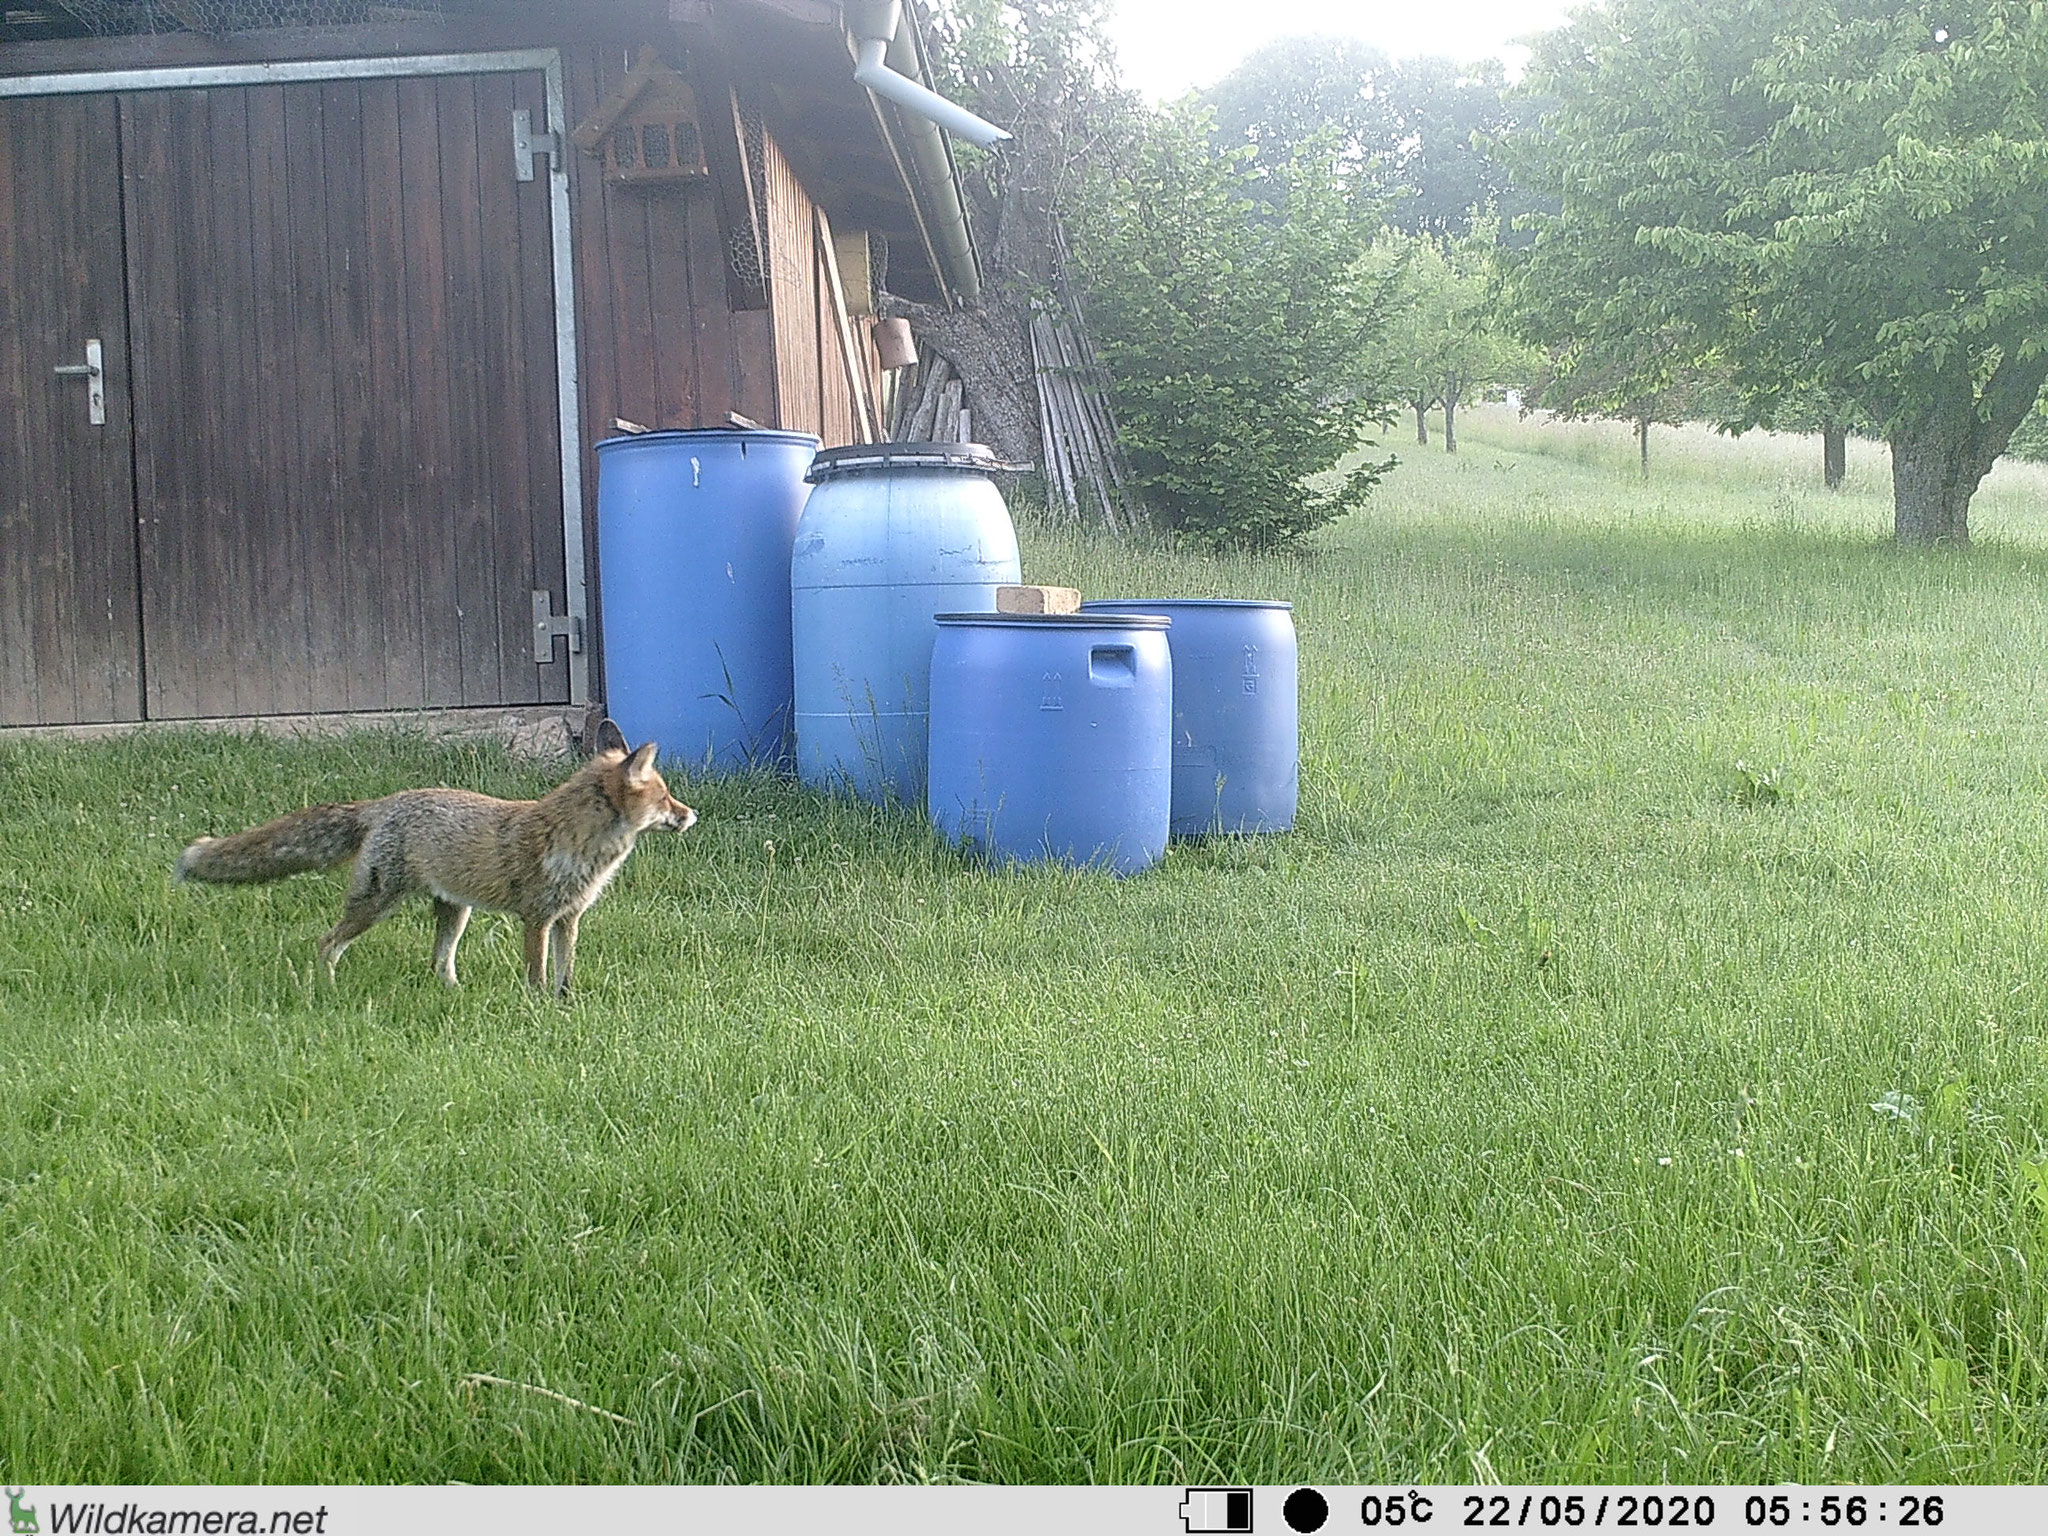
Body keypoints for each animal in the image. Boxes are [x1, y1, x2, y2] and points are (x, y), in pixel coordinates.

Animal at [174, 720, 696, 999]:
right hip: (375, 905)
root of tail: (386, 802)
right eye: (666, 798)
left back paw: (454, 995)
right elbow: (538, 976)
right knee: (327, 944)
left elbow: (565, 977)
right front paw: (539, 1009)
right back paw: (328, 988)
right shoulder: (537, 919)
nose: (692, 814)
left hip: (454, 912)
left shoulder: (569, 919)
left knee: (438, 963)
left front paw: (565, 1006)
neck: (582, 847)